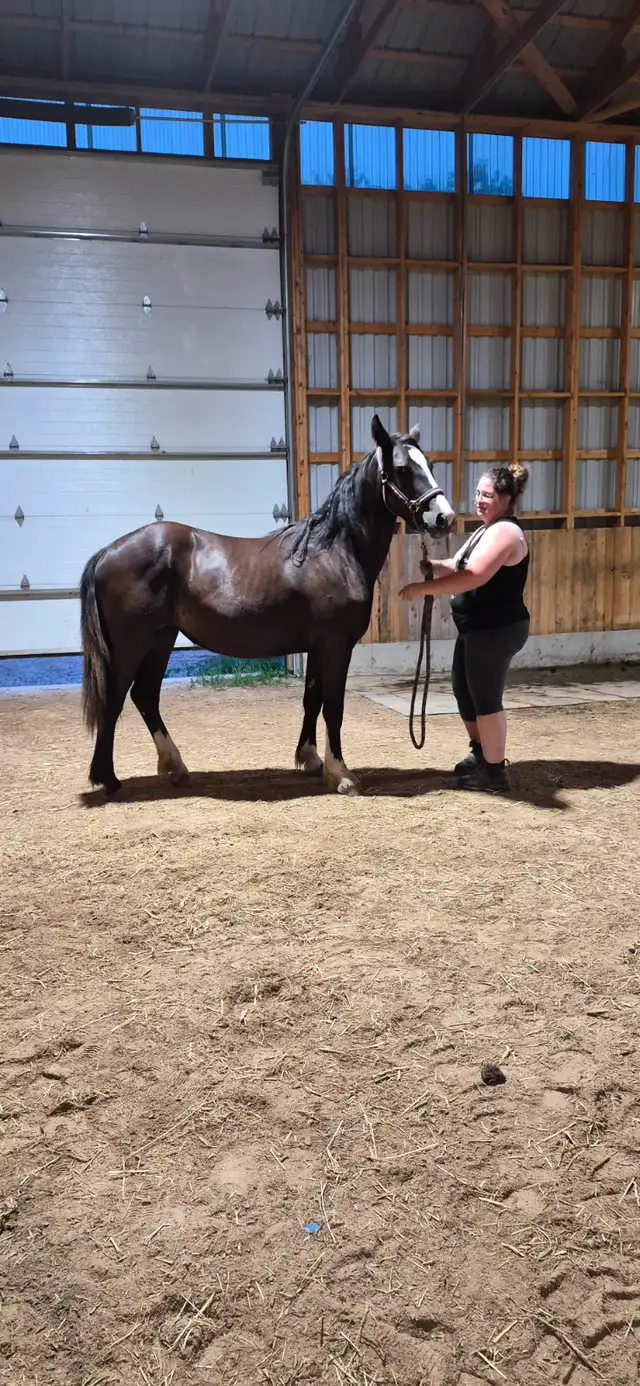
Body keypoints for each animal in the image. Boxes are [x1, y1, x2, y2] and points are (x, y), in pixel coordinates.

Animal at [80, 414, 455, 797]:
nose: (444, 518)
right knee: (115, 699)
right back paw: (108, 778)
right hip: (133, 644)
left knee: (145, 696)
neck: (335, 551)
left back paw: (175, 769)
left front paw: (311, 760)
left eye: (430, 465)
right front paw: (342, 775)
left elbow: (312, 699)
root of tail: (106, 553)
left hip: (161, 639)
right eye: (402, 469)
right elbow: (333, 707)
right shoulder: (336, 646)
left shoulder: (317, 647)